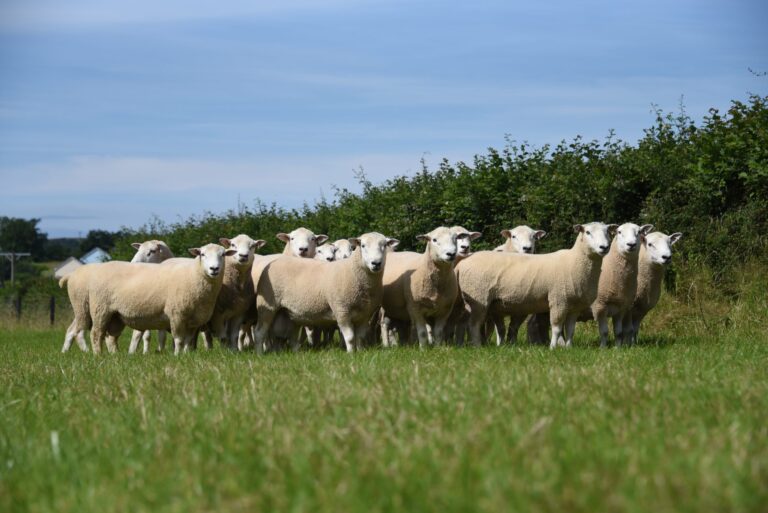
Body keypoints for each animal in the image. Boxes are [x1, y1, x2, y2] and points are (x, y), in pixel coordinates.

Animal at [66, 243, 235, 354]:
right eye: (202, 254)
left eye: (223, 255)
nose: (214, 269)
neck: (194, 275)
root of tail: (99, 268)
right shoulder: (176, 314)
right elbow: (179, 340)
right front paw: (178, 356)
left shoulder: (194, 319)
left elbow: (188, 341)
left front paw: (187, 356)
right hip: (100, 309)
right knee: (96, 334)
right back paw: (98, 356)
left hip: (116, 315)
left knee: (111, 337)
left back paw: (115, 356)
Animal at [254, 232, 399, 353]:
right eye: (362, 245)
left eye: (385, 245)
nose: (376, 263)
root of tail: (274, 261)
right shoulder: (341, 310)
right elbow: (350, 337)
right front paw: (351, 354)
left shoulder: (365, 314)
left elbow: (360, 337)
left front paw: (361, 352)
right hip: (267, 307)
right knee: (259, 332)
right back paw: (259, 354)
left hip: (289, 313)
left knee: (290, 336)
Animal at [456, 222, 615, 349]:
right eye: (587, 232)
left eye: (608, 232)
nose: (604, 247)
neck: (575, 261)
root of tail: (462, 263)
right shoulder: (558, 299)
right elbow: (556, 328)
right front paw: (553, 348)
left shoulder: (574, 305)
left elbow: (570, 330)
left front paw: (569, 348)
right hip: (478, 298)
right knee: (473, 325)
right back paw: (477, 346)